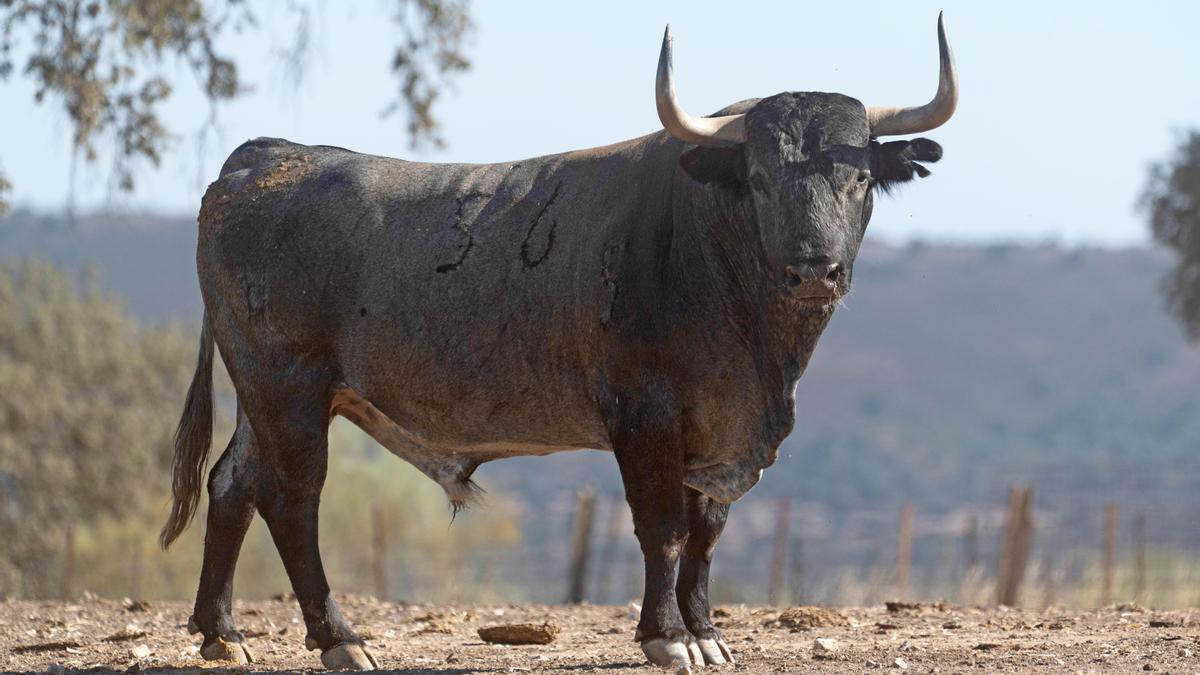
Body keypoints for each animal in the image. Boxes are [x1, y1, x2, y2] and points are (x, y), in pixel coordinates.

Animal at [164, 14, 960, 667]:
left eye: (860, 178)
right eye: (761, 178)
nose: (813, 270)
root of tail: (264, 157)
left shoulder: (720, 429)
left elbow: (707, 531)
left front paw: (706, 631)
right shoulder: (645, 414)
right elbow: (664, 526)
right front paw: (667, 636)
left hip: (267, 398)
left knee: (231, 484)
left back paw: (221, 632)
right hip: (288, 388)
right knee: (293, 500)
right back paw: (340, 639)